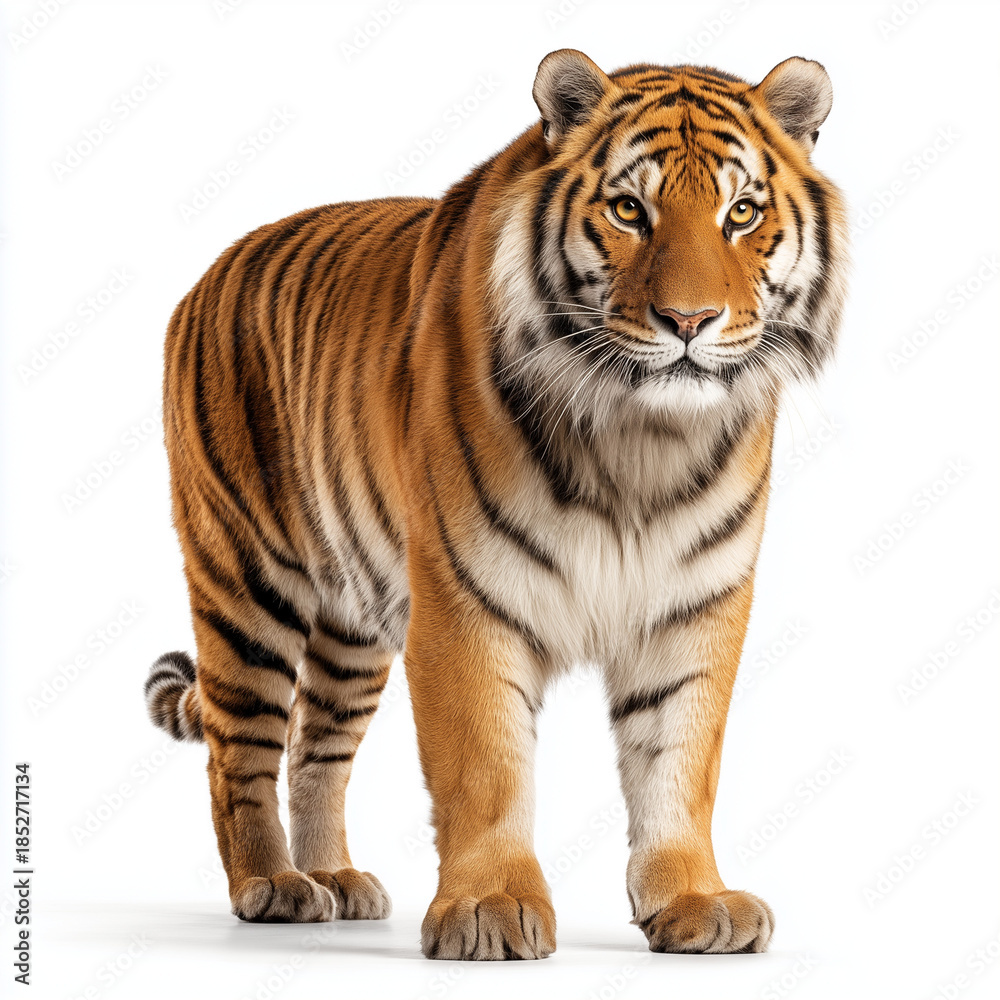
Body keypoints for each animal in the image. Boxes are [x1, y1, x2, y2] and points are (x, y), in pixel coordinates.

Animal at [144, 48, 848, 959]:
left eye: (741, 212)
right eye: (629, 209)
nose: (690, 319)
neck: (643, 438)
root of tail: (210, 270)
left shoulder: (695, 605)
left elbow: (680, 761)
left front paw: (694, 901)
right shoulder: (464, 599)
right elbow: (484, 764)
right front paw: (489, 908)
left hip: (351, 625)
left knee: (316, 749)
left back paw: (335, 879)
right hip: (245, 586)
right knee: (240, 750)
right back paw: (271, 886)